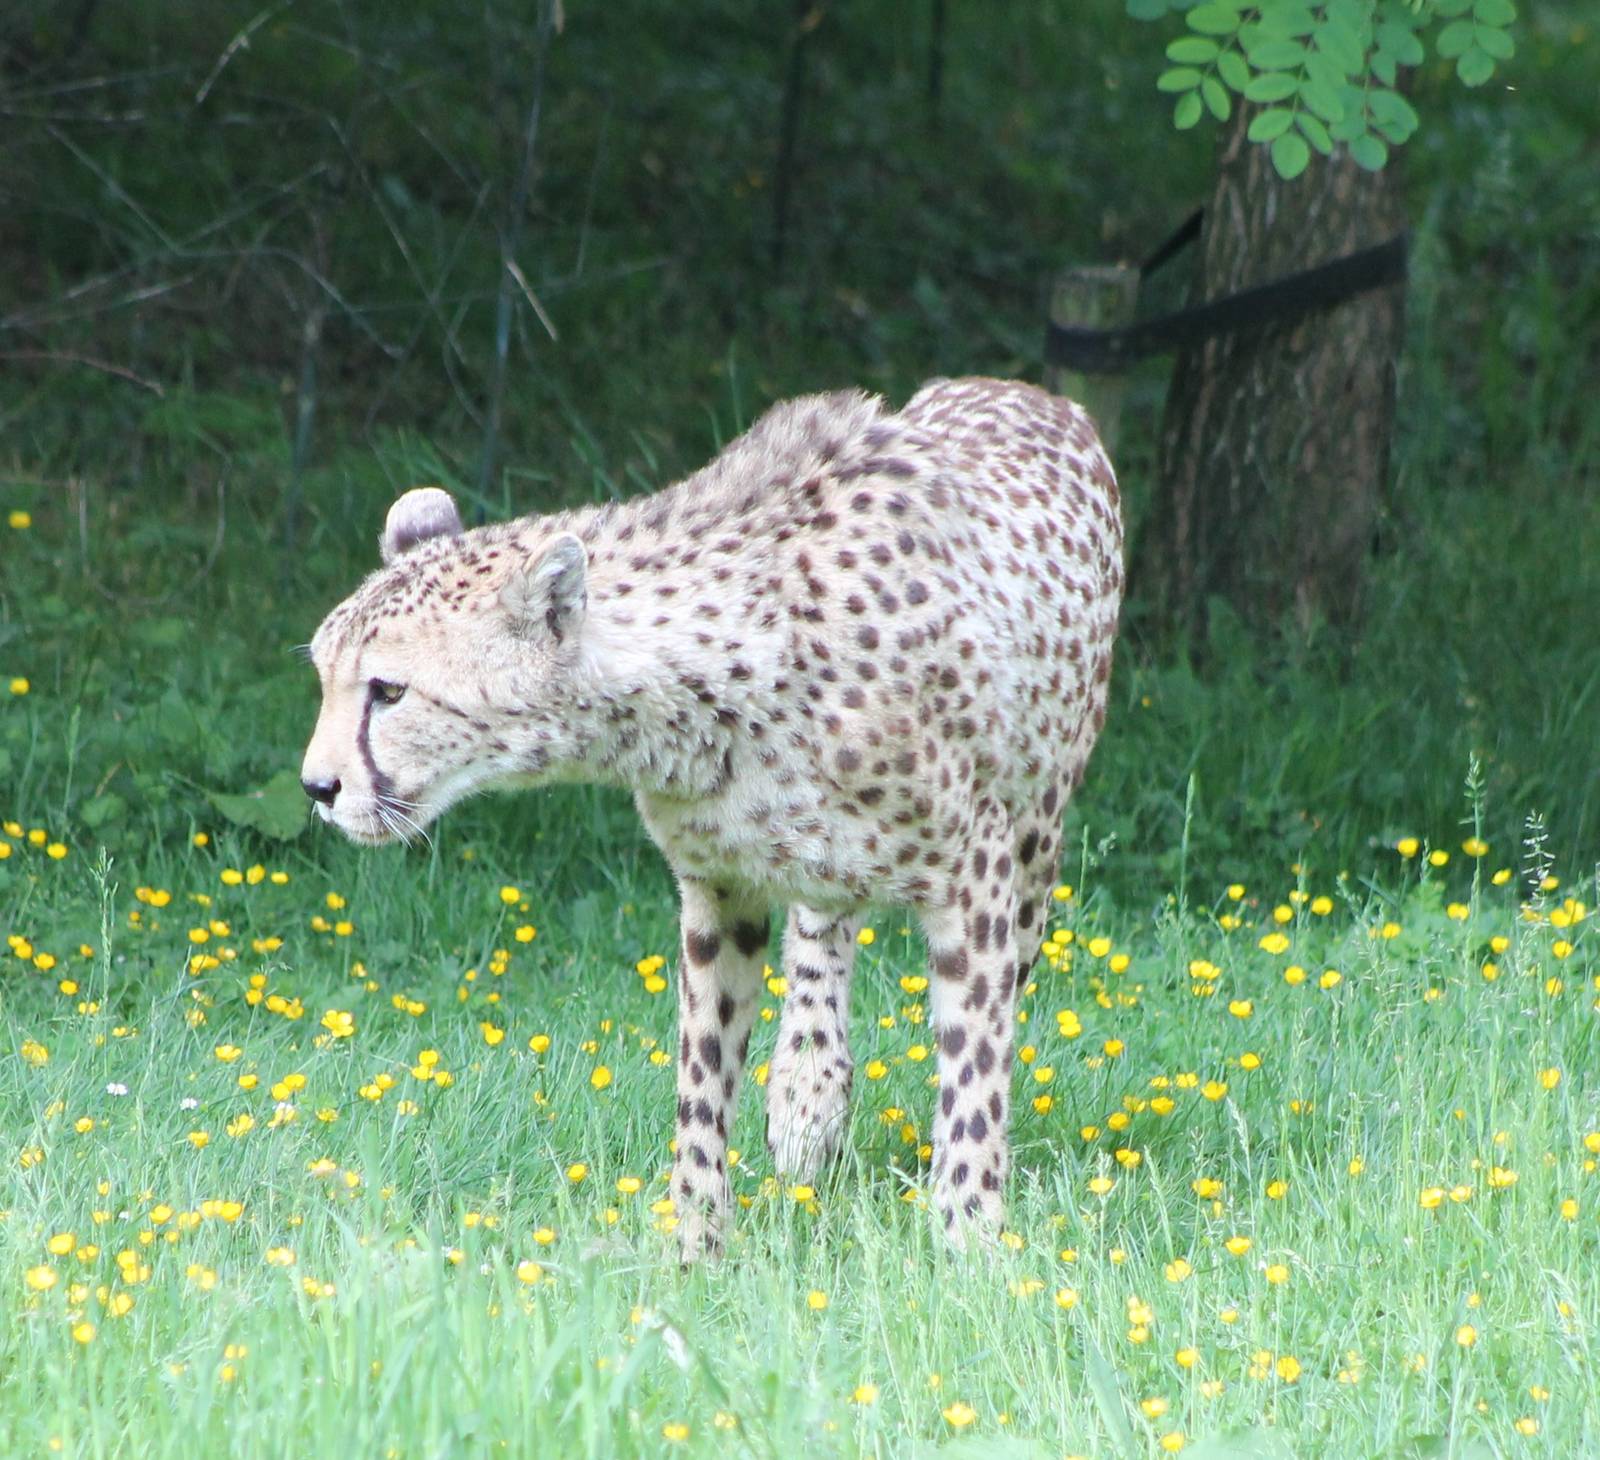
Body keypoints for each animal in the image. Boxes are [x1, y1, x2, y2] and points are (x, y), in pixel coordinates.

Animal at [300, 376, 1123, 1261]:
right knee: (822, 927)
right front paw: (695, 1243)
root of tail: (1023, 389)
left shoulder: (976, 873)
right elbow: (702, 1073)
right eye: (325, 673)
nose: (317, 785)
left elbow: (974, 1072)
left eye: (390, 691)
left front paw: (969, 1244)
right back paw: (807, 1091)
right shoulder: (720, 889)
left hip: (1035, 848)